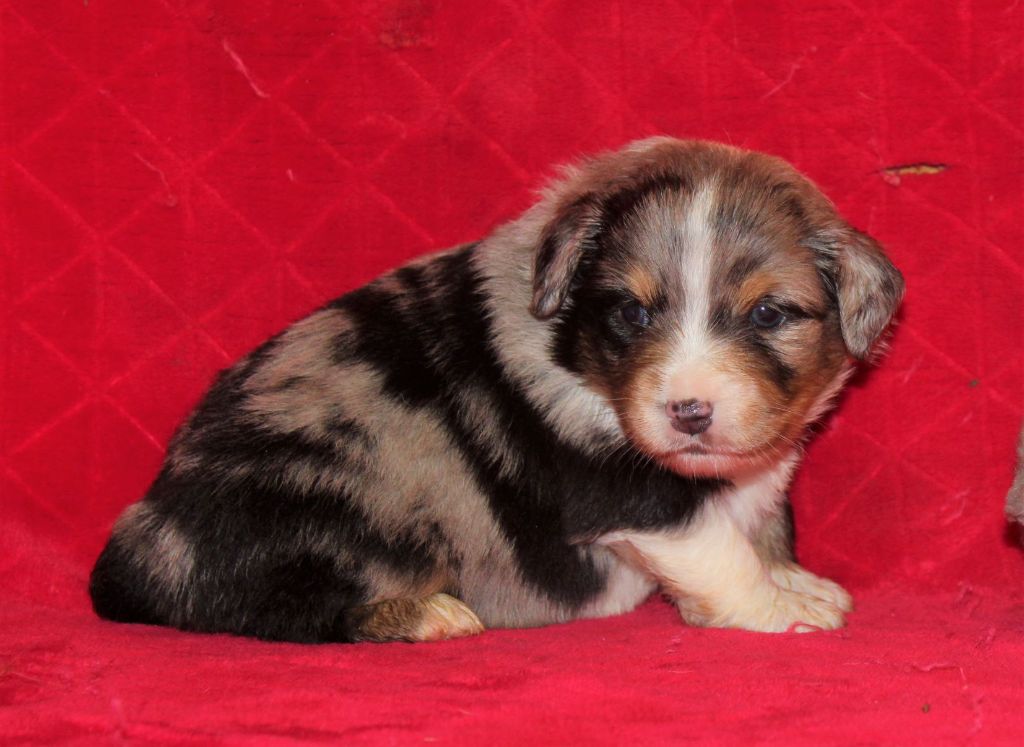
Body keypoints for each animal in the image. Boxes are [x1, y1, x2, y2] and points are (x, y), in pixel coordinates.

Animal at [90, 137, 904, 643]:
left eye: (769, 314)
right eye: (632, 312)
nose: (689, 413)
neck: (578, 358)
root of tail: (137, 543)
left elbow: (760, 522)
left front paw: (800, 580)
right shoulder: (627, 492)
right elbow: (719, 547)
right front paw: (782, 610)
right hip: (329, 504)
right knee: (276, 606)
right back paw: (430, 616)